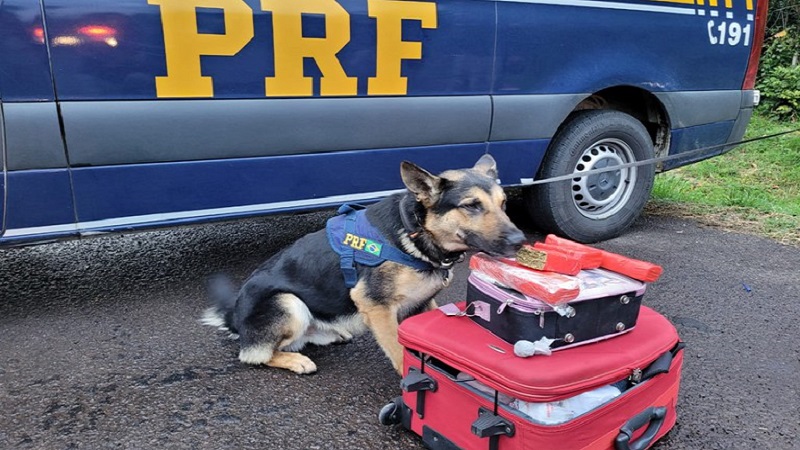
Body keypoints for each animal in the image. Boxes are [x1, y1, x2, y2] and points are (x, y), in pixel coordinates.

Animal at [202, 156, 524, 374]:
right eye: (471, 206)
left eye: (504, 203)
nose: (521, 240)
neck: (415, 231)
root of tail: (235, 317)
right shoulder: (377, 306)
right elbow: (399, 350)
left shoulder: (424, 303)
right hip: (288, 302)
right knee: (255, 355)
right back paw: (295, 359)